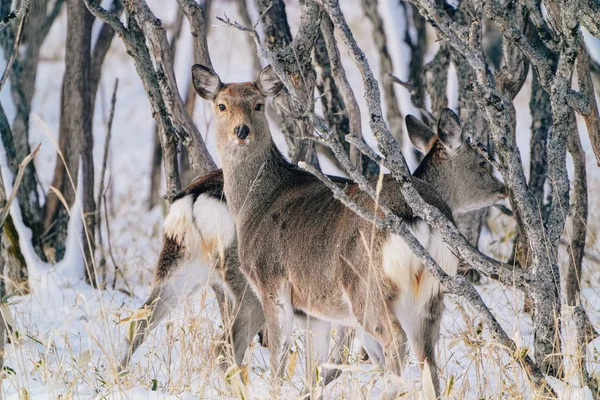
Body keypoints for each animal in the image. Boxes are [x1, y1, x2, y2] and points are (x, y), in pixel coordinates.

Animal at [192, 64, 506, 398]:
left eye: (258, 105)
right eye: (221, 105)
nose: (241, 131)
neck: (255, 204)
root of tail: (418, 217)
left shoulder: (272, 282)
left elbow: (283, 359)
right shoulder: (312, 310)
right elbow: (315, 368)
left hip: (365, 286)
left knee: (395, 341)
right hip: (430, 294)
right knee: (426, 355)